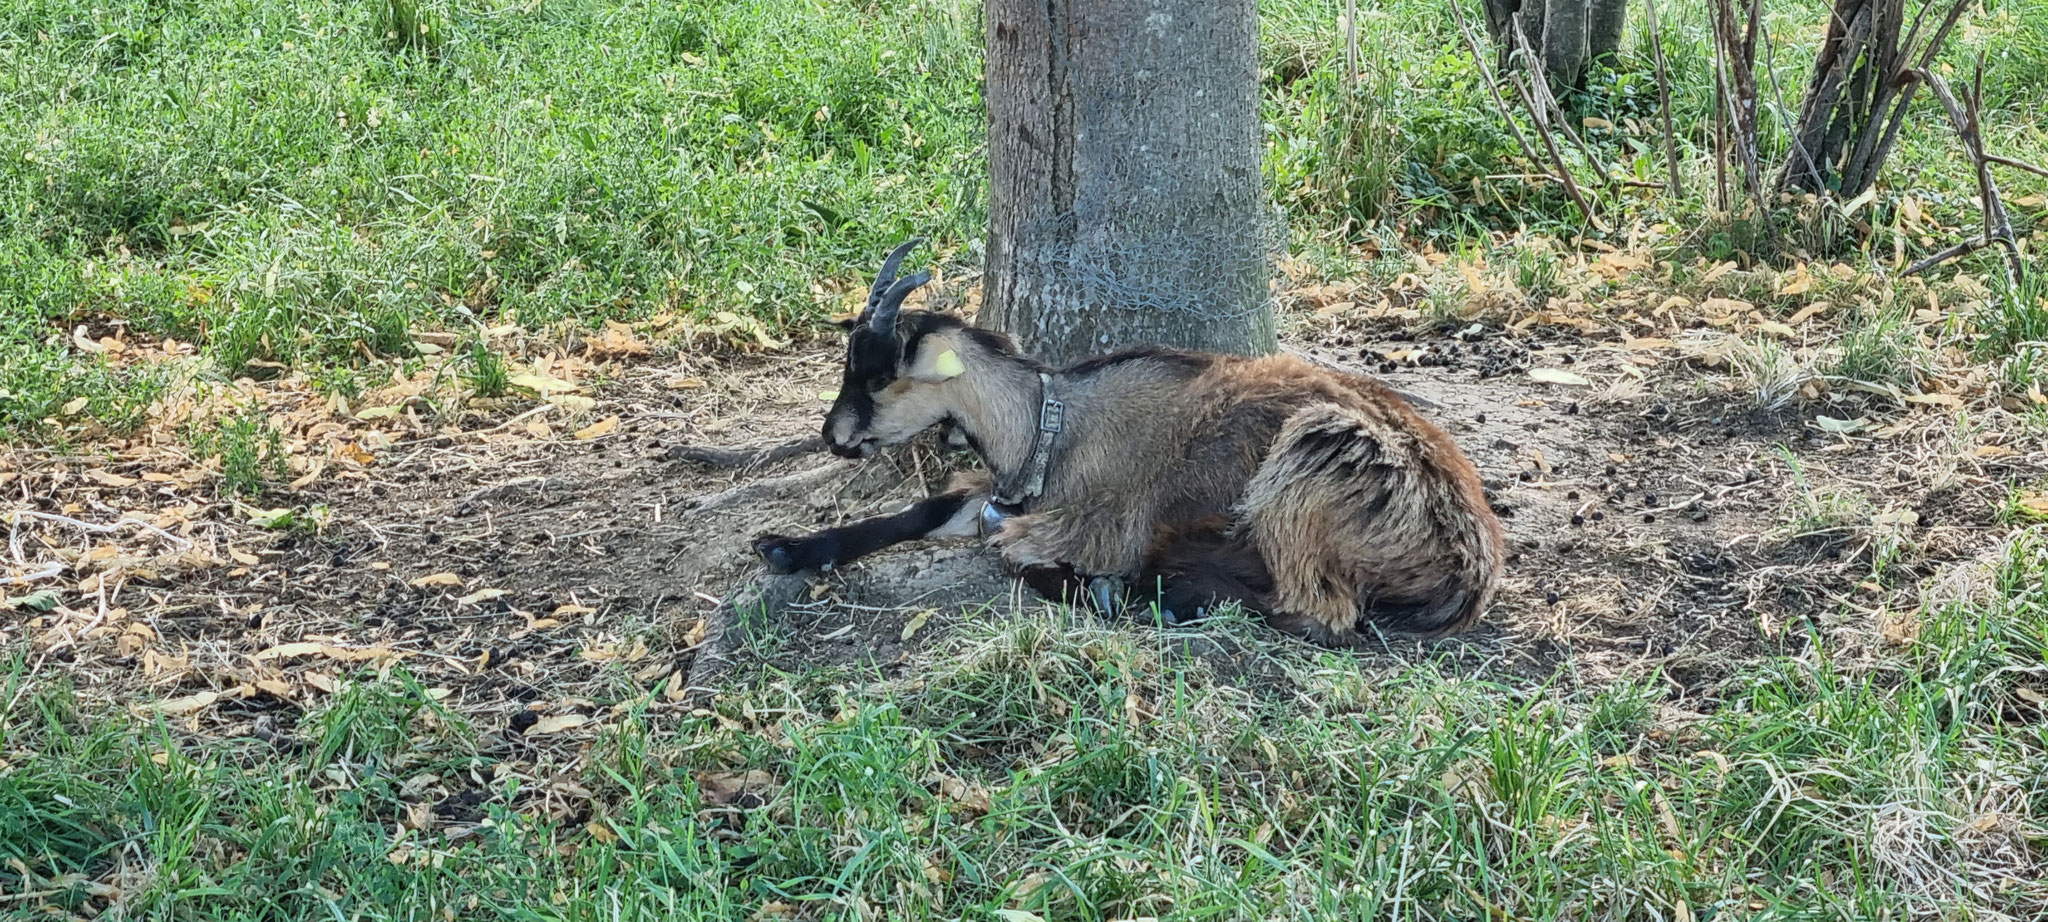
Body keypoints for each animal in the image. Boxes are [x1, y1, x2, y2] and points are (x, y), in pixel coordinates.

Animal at [753, 241, 1507, 643]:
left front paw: (1104, 589)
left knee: (1321, 612)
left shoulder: (1099, 522)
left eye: (879, 372)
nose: (833, 436)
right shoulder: (1000, 497)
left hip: (1312, 458)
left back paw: (1164, 593)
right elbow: (922, 511)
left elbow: (1010, 553)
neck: (1052, 426)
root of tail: (1474, 562)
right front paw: (787, 547)